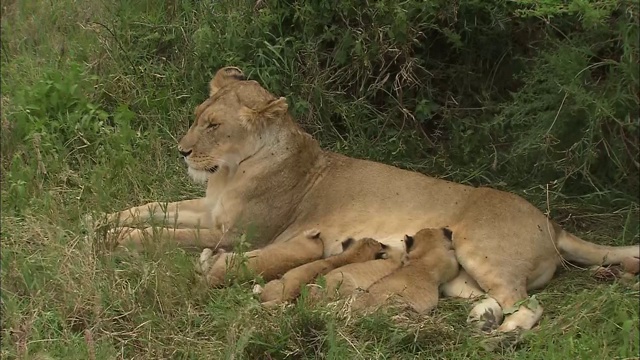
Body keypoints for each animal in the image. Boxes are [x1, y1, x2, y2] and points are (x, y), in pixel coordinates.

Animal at [102, 67, 636, 332]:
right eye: (197, 116)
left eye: (213, 126)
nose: (182, 151)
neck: (229, 173)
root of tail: (550, 221)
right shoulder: (210, 213)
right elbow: (151, 207)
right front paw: (102, 219)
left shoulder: (236, 235)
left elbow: (161, 234)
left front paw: (118, 238)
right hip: (458, 274)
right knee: (498, 296)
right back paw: (483, 317)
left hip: (479, 248)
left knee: (527, 302)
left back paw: (505, 330)